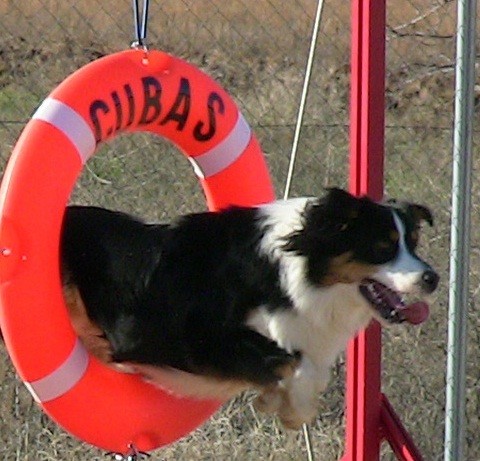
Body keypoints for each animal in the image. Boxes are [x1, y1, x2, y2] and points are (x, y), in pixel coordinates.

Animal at [61, 186, 438, 428]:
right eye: (383, 247)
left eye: (413, 243)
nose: (432, 278)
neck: (292, 272)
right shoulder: (189, 338)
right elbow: (288, 361)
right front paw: (290, 406)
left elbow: (304, 367)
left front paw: (284, 401)